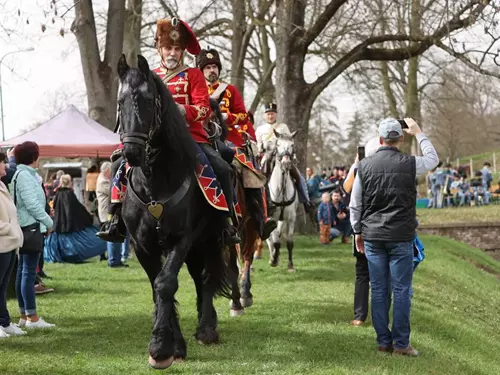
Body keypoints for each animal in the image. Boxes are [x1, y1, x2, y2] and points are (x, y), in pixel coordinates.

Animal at [116, 55, 232, 370]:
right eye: (120, 101)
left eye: (147, 100)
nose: (131, 153)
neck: (155, 184)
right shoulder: (142, 246)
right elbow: (158, 288)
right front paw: (172, 345)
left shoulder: (182, 239)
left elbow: (166, 284)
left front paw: (160, 348)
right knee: (197, 277)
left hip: (208, 239)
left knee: (205, 277)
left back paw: (207, 329)